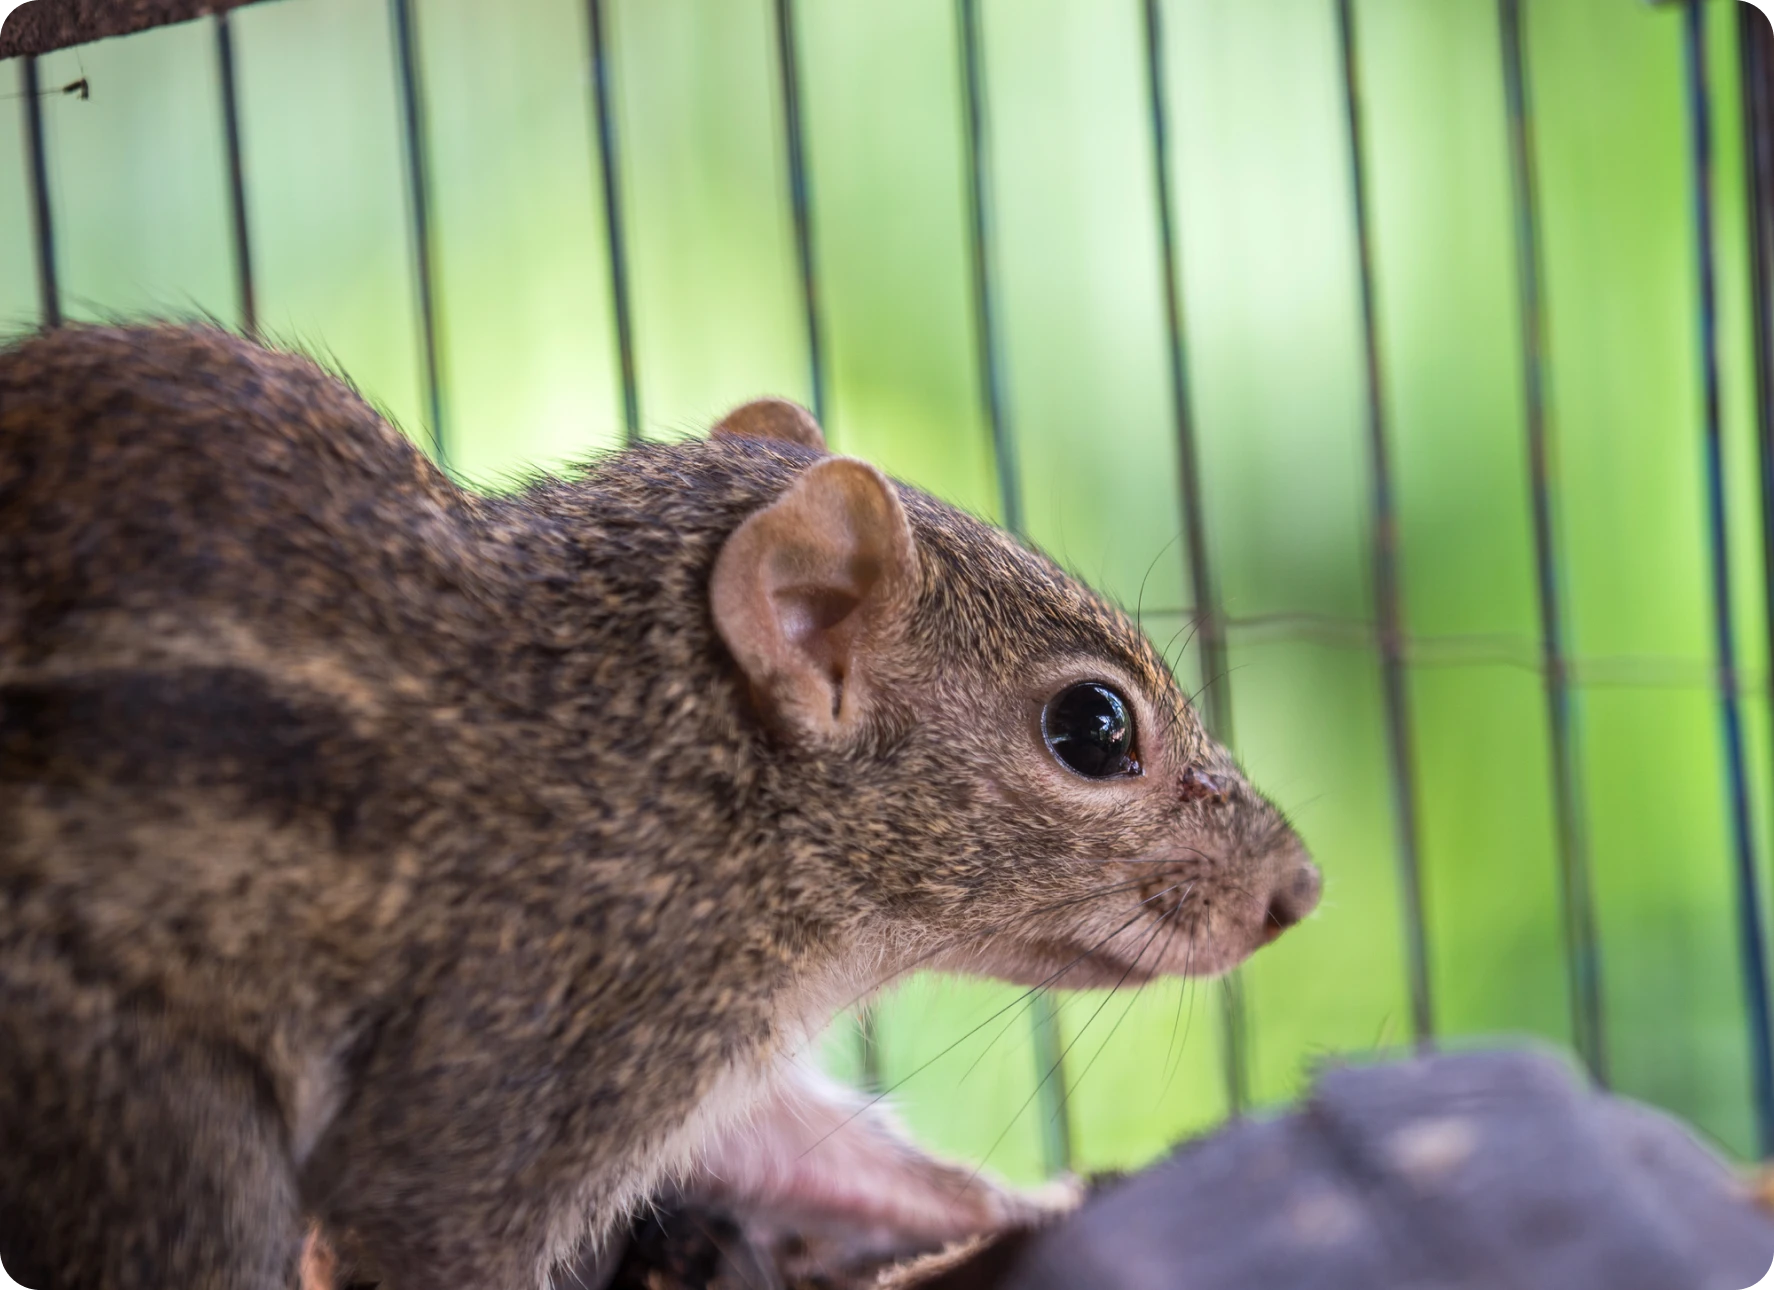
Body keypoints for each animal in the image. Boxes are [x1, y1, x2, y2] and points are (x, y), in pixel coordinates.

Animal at [0, 323, 1320, 1290]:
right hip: (151, 1122)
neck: (668, 769)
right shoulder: (555, 1014)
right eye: (1093, 731)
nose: (1298, 888)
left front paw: (1039, 1199)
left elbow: (804, 1150)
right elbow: (428, 1223)